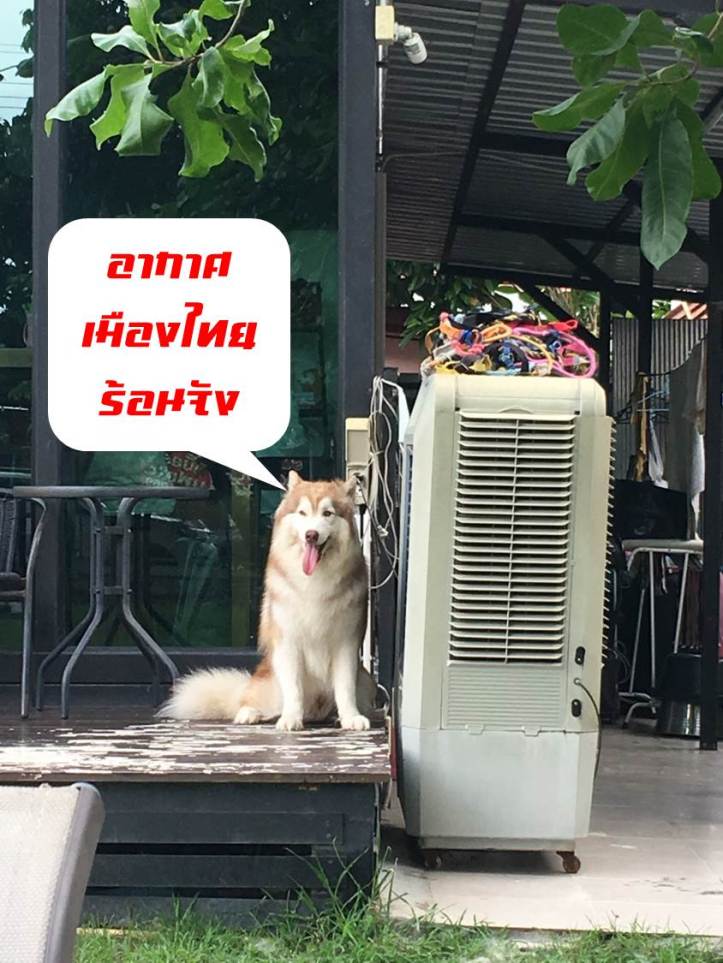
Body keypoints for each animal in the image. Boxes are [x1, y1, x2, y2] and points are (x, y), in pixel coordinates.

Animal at [160, 471, 375, 731]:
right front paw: (291, 718)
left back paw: (334, 716)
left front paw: (350, 717)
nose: (311, 535)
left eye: (327, 513)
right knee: (251, 701)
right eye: (302, 513)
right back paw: (251, 714)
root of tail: (316, 711)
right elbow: (293, 688)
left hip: (366, 682)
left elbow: (344, 687)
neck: (314, 580)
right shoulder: (288, 642)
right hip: (268, 682)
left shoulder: (345, 643)